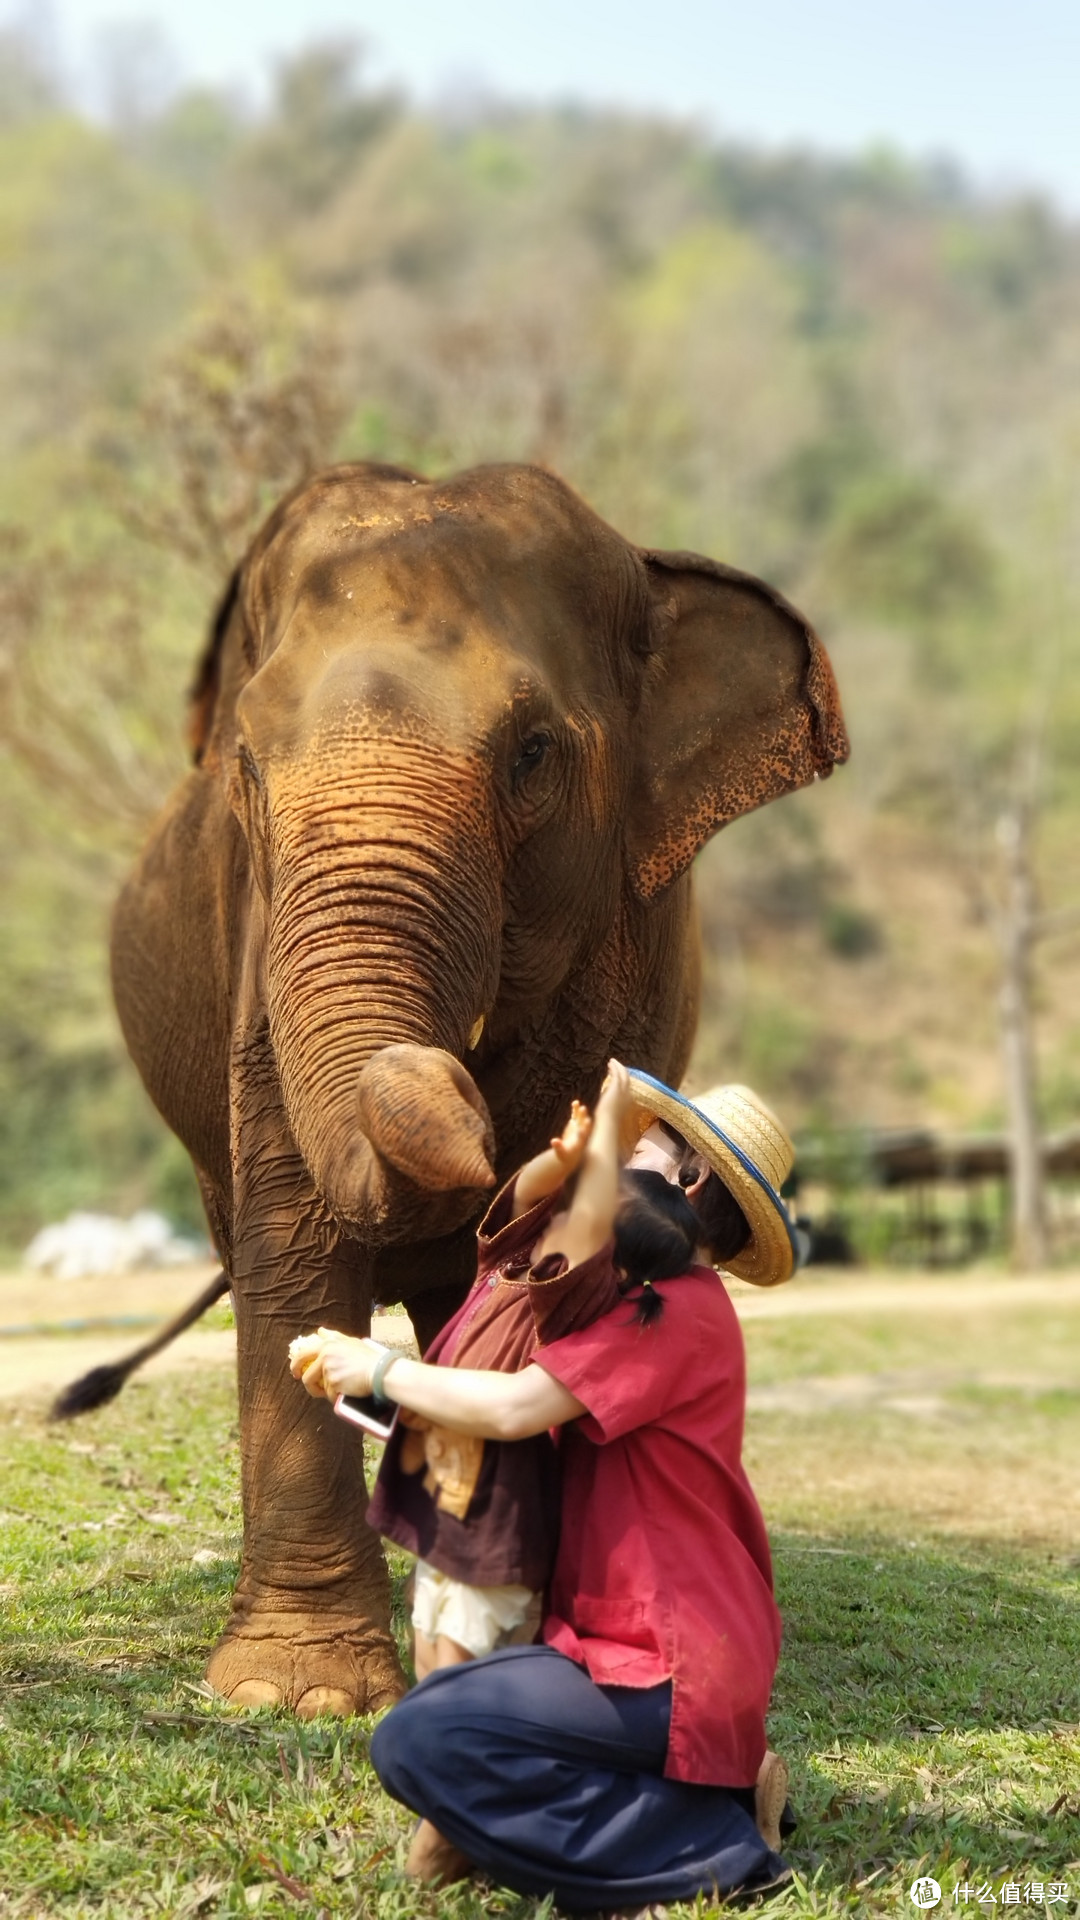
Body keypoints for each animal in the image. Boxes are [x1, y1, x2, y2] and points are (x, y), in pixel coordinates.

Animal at [111, 460, 849, 1712]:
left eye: (534, 753)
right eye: (244, 766)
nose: (466, 1104)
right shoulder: (259, 936)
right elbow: (294, 1231)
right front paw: (296, 1694)